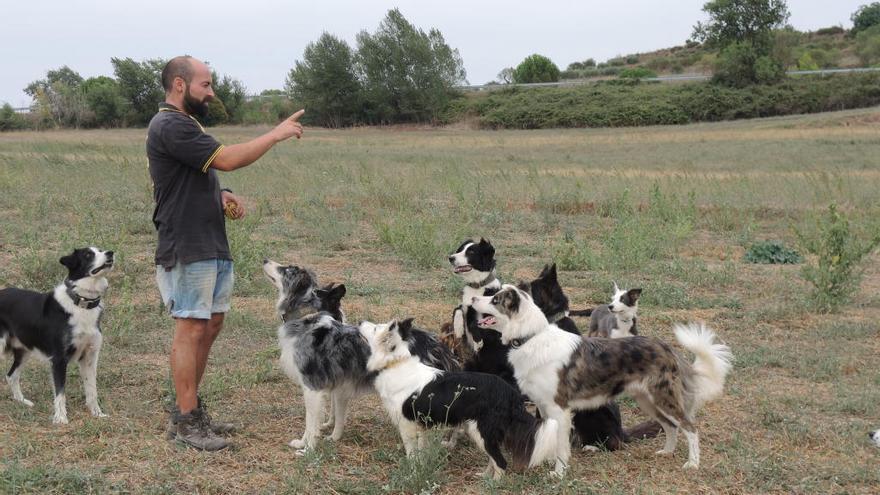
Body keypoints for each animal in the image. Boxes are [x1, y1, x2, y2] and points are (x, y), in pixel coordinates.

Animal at [0, 246, 113, 424]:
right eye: (88, 254)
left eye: (101, 250)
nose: (111, 253)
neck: (81, 303)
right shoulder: (59, 359)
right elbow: (60, 392)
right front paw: (60, 419)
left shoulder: (90, 356)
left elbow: (92, 389)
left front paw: (97, 413)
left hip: (24, 351)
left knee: (11, 376)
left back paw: (22, 401)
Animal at [262, 260, 460, 454]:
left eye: (287, 269)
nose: (265, 260)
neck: (307, 319)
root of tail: (436, 345)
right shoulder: (333, 390)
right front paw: (306, 442)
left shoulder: (312, 388)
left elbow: (311, 424)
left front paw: (308, 449)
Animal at [360, 318, 556, 480]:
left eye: (376, 328)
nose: (361, 322)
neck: (395, 364)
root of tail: (511, 394)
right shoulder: (421, 427)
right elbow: (421, 453)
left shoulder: (407, 426)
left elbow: (412, 455)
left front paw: (412, 474)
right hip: (478, 430)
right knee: (493, 458)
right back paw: (484, 477)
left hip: (482, 430)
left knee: (501, 462)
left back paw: (493, 484)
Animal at [474, 286, 736, 476]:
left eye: (495, 299)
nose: (474, 298)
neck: (531, 337)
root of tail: (666, 347)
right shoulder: (545, 408)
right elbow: (550, 439)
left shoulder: (560, 410)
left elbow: (561, 446)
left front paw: (559, 474)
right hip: (648, 401)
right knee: (670, 426)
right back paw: (667, 452)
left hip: (664, 399)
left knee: (690, 428)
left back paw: (693, 464)